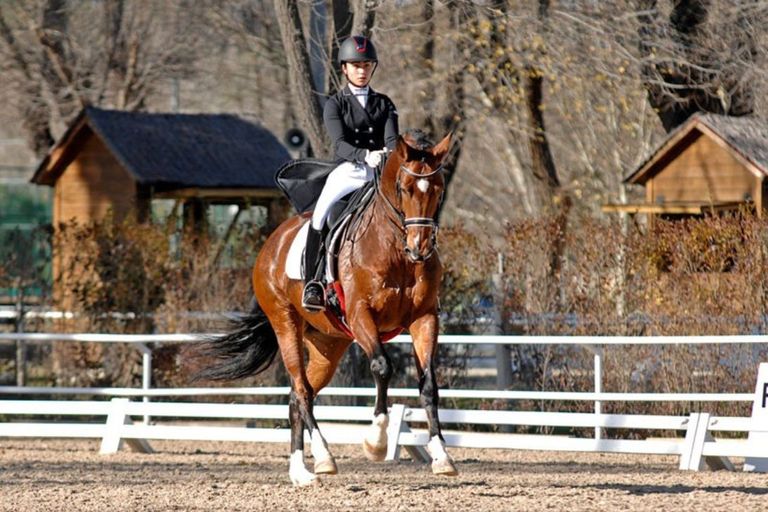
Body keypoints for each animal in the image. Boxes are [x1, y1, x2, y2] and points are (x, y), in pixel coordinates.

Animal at [199, 131, 456, 486]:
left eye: (439, 190)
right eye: (404, 188)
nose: (420, 248)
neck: (395, 250)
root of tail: (272, 243)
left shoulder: (424, 317)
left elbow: (429, 383)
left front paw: (442, 456)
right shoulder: (361, 314)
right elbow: (382, 367)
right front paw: (376, 442)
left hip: (327, 344)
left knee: (297, 395)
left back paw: (301, 471)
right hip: (286, 325)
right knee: (302, 389)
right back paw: (324, 457)